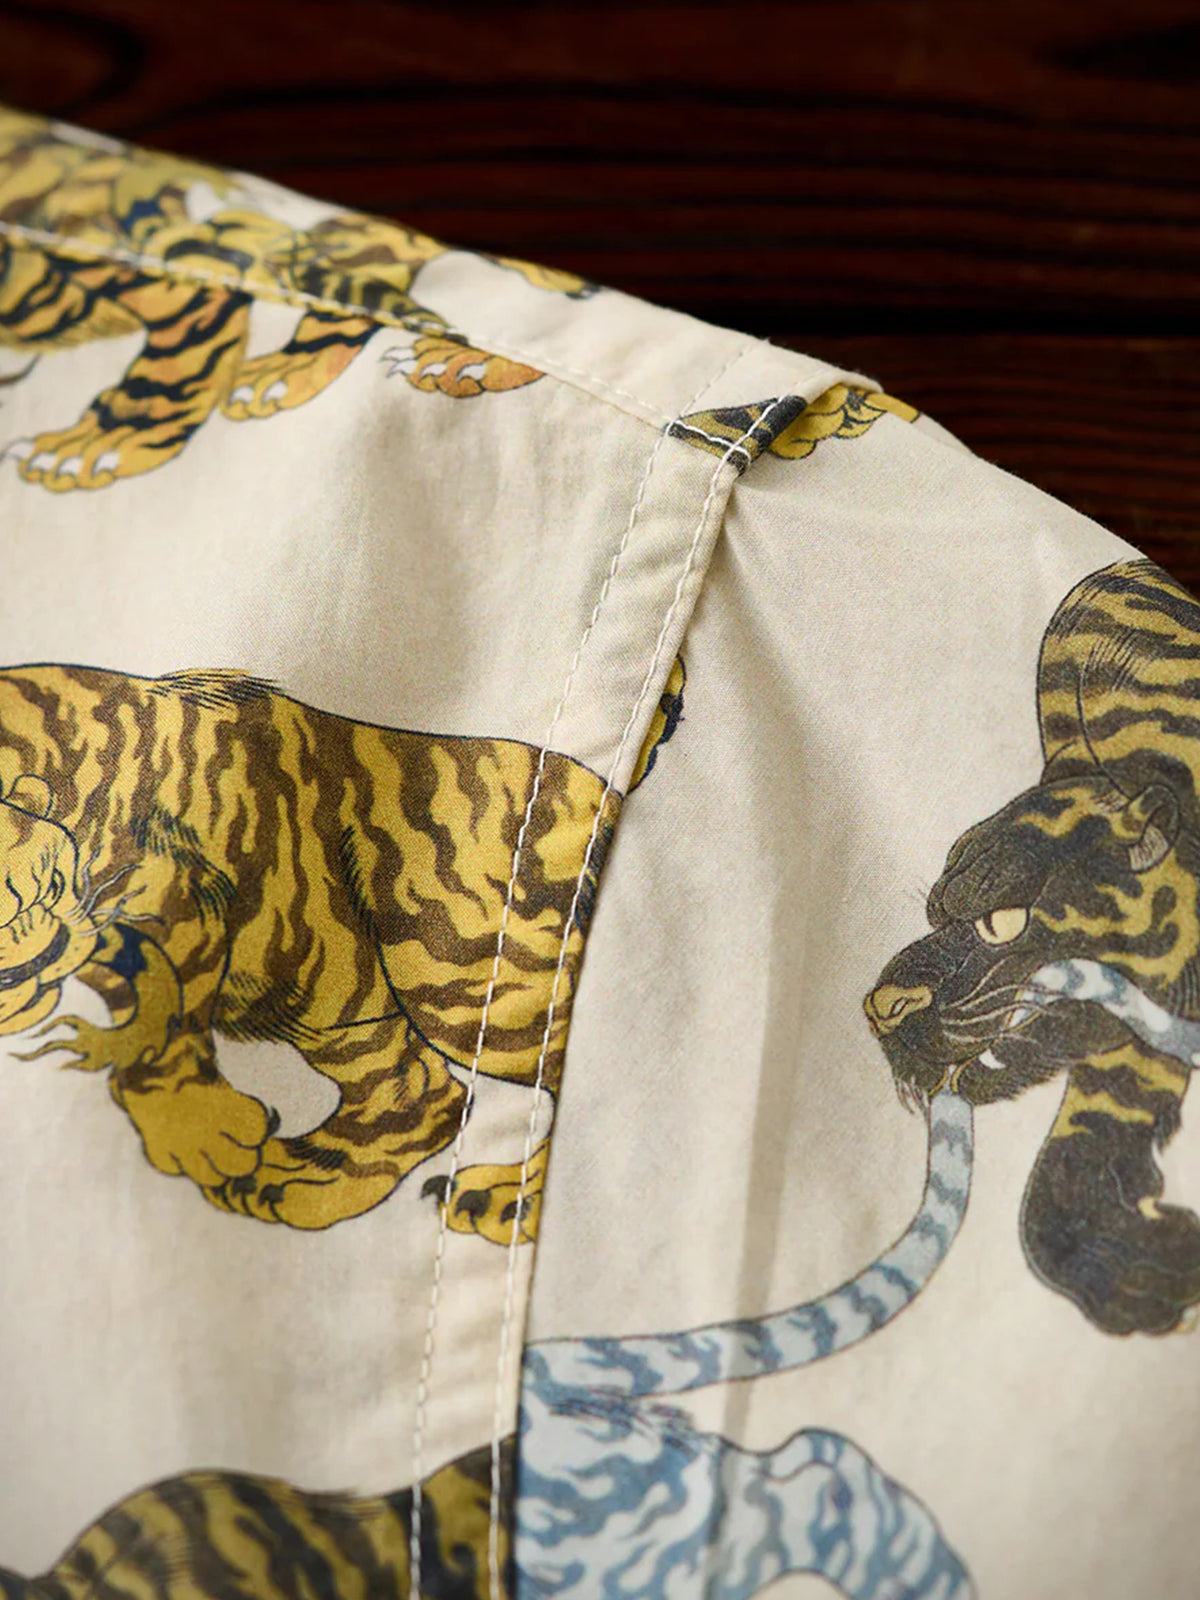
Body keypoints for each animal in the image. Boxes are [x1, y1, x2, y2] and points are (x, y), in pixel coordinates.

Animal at [0, 662, 622, 1241]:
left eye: (39, 887)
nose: (28, 971)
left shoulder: (173, 893)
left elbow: (166, 1025)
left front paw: (198, 1130)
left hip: (450, 971)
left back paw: (500, 1199)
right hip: (341, 990)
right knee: (421, 1089)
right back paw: (309, 1178)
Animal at [864, 558, 1200, 1336]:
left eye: (1002, 921)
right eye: (933, 911)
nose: (880, 1007)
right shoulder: (1126, 1039)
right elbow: (1075, 1154)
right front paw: (1140, 1272)